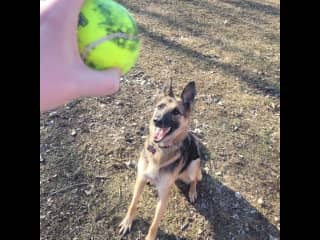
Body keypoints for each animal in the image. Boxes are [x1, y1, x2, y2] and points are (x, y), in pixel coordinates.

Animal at [119, 81, 201, 240]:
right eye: (160, 106)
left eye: (176, 112)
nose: (156, 120)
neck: (159, 150)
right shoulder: (140, 179)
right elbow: (133, 204)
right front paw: (127, 221)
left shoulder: (163, 196)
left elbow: (154, 223)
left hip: (193, 167)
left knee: (195, 180)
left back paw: (193, 191)